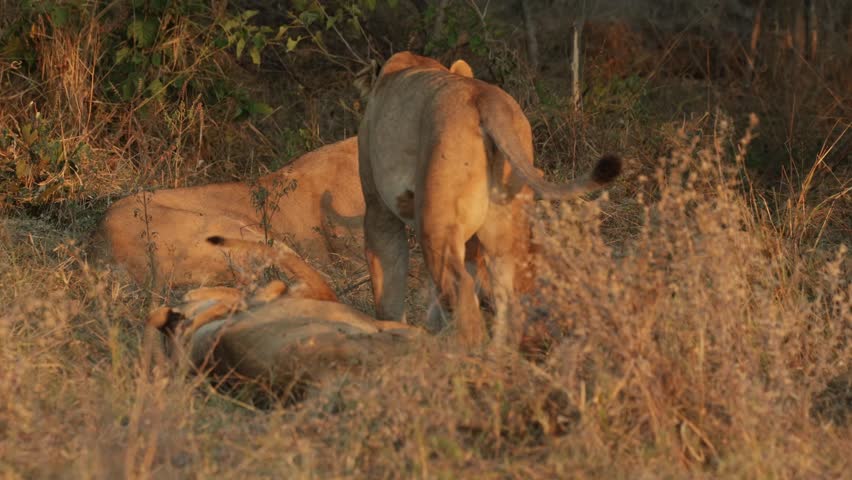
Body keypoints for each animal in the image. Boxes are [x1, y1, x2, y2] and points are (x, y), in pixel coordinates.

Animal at [358, 52, 621, 348]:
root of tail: (486, 97)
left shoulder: (378, 209)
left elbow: (387, 279)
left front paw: (391, 328)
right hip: (505, 221)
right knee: (507, 295)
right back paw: (499, 352)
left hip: (435, 220)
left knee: (459, 285)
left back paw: (464, 350)